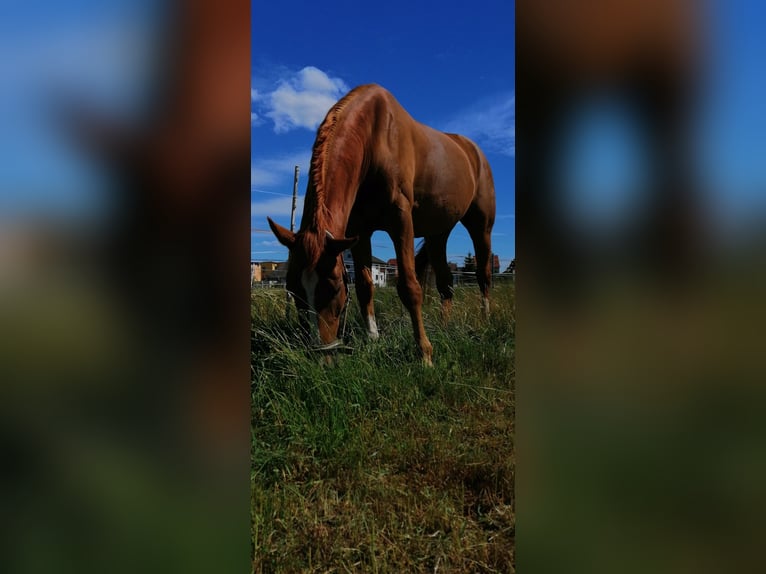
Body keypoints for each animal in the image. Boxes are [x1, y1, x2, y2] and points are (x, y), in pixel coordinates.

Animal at [270, 84, 498, 366]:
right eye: (292, 289)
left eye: (335, 288)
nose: (322, 359)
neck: (374, 138)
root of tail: (472, 151)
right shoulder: (358, 232)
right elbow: (365, 287)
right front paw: (373, 340)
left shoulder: (401, 221)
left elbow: (409, 287)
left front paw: (425, 354)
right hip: (438, 233)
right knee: (446, 284)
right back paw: (445, 328)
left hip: (481, 226)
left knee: (483, 276)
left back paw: (486, 321)